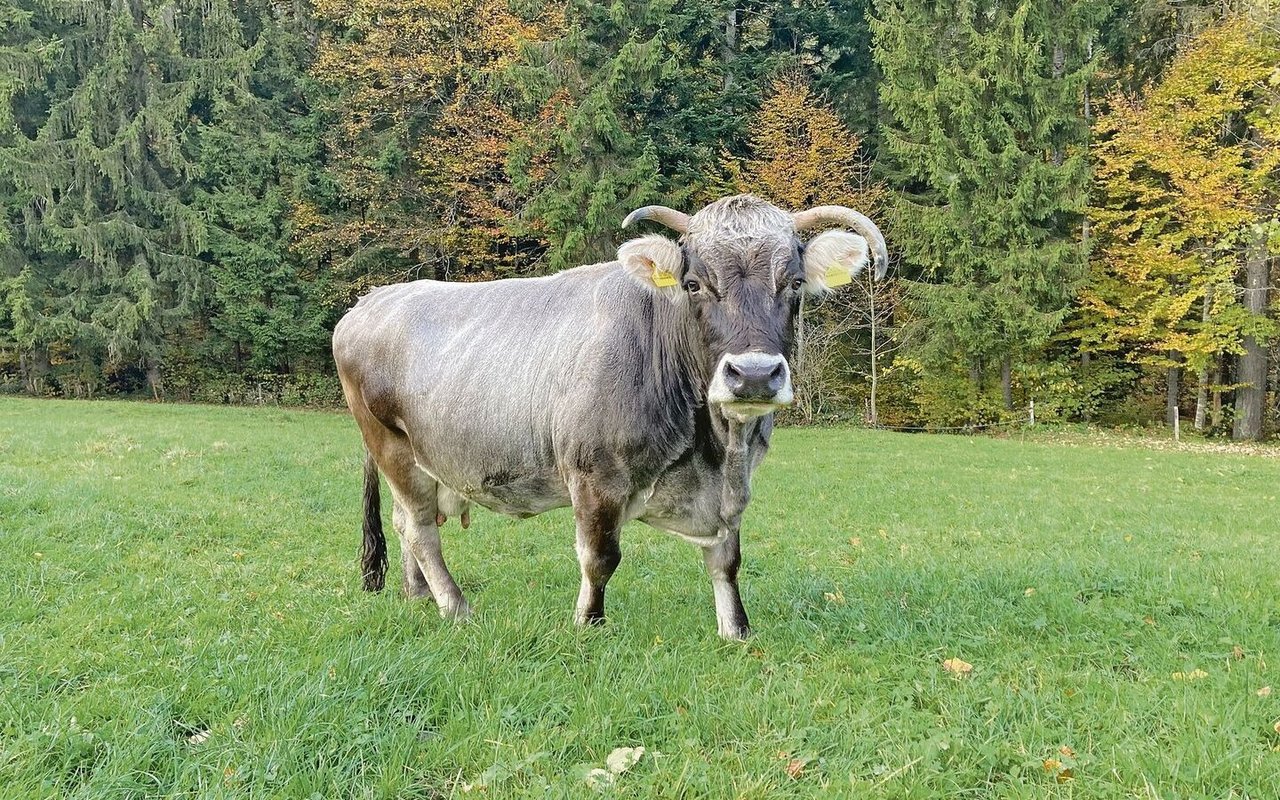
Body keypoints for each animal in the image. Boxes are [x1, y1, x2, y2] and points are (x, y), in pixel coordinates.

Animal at [335, 193, 885, 637]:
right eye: (692, 284)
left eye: (795, 283)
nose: (752, 374)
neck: (715, 449)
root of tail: (372, 299)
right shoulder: (594, 476)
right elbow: (600, 558)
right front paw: (588, 624)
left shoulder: (732, 489)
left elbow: (726, 561)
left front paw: (736, 630)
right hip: (391, 445)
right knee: (420, 528)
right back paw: (455, 607)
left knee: (405, 520)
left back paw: (419, 596)